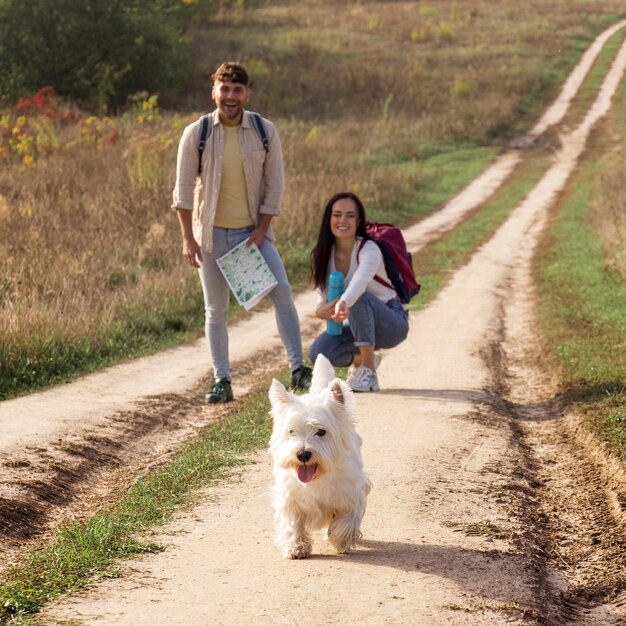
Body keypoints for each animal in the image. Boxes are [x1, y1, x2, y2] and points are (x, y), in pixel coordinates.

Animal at [266, 354, 368, 560]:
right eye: (292, 431)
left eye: (321, 432)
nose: (303, 454)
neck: (316, 477)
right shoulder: (289, 496)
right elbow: (292, 523)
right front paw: (296, 547)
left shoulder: (352, 492)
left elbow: (347, 519)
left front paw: (340, 540)